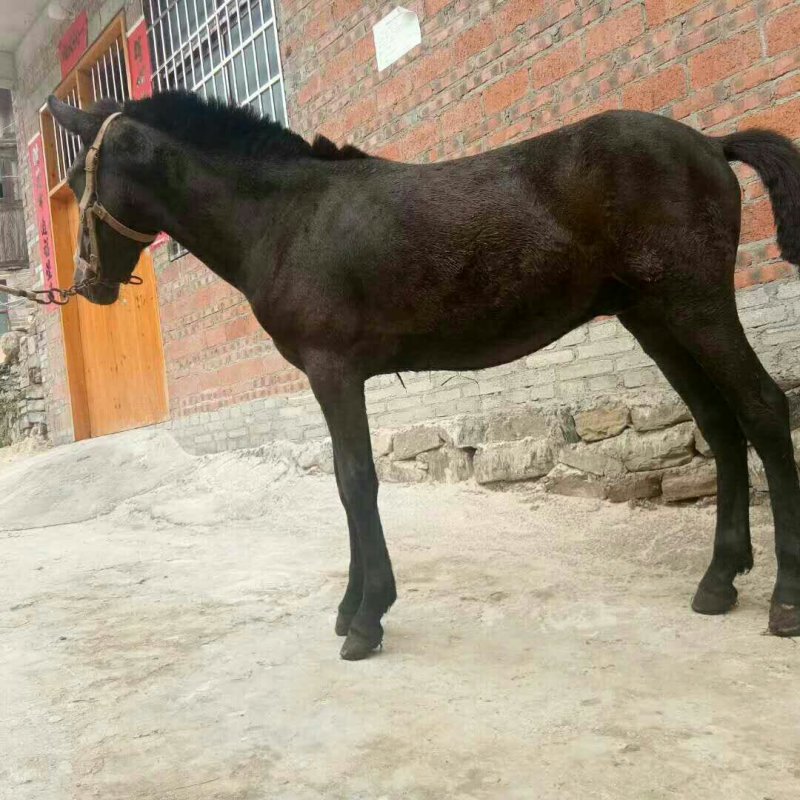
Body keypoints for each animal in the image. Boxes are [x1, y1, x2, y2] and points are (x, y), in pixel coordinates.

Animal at [47, 91, 800, 660]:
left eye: (83, 182)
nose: (89, 285)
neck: (287, 220)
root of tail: (710, 143)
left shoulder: (334, 371)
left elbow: (355, 482)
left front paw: (365, 617)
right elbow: (346, 482)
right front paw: (352, 605)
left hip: (695, 306)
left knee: (762, 409)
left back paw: (785, 599)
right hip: (655, 318)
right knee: (720, 424)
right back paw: (718, 581)